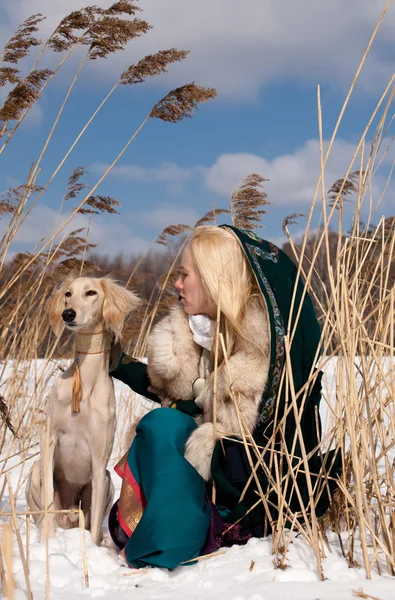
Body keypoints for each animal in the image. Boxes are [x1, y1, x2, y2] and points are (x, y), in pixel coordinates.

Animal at [25, 276, 141, 544]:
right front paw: (48, 544)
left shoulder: (100, 461)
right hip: (36, 472)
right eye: (68, 293)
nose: (68, 314)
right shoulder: (50, 441)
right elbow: (48, 501)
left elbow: (96, 523)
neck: (85, 384)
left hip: (108, 480)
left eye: (91, 292)